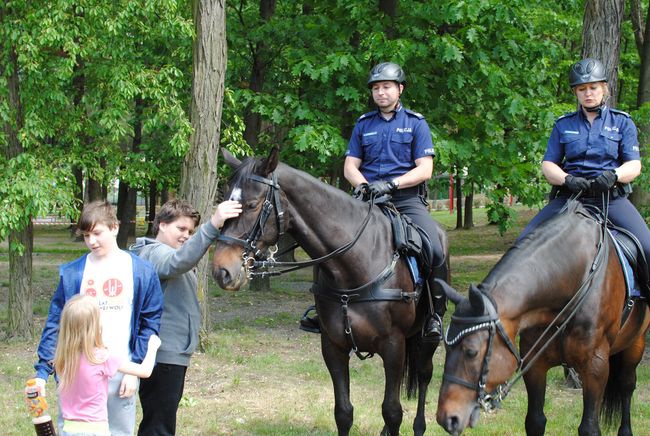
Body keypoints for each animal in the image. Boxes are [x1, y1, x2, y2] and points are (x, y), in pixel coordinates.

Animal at [211, 148, 446, 434]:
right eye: (225, 201)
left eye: (253, 205)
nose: (221, 270)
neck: (357, 262)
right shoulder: (333, 346)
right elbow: (343, 412)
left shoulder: (393, 345)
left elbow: (392, 411)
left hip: (426, 338)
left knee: (424, 375)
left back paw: (420, 425)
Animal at [432, 201, 644, 436]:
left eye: (471, 352)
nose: (446, 418)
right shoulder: (535, 365)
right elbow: (535, 420)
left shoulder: (595, 367)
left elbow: (589, 427)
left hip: (636, 343)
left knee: (626, 385)